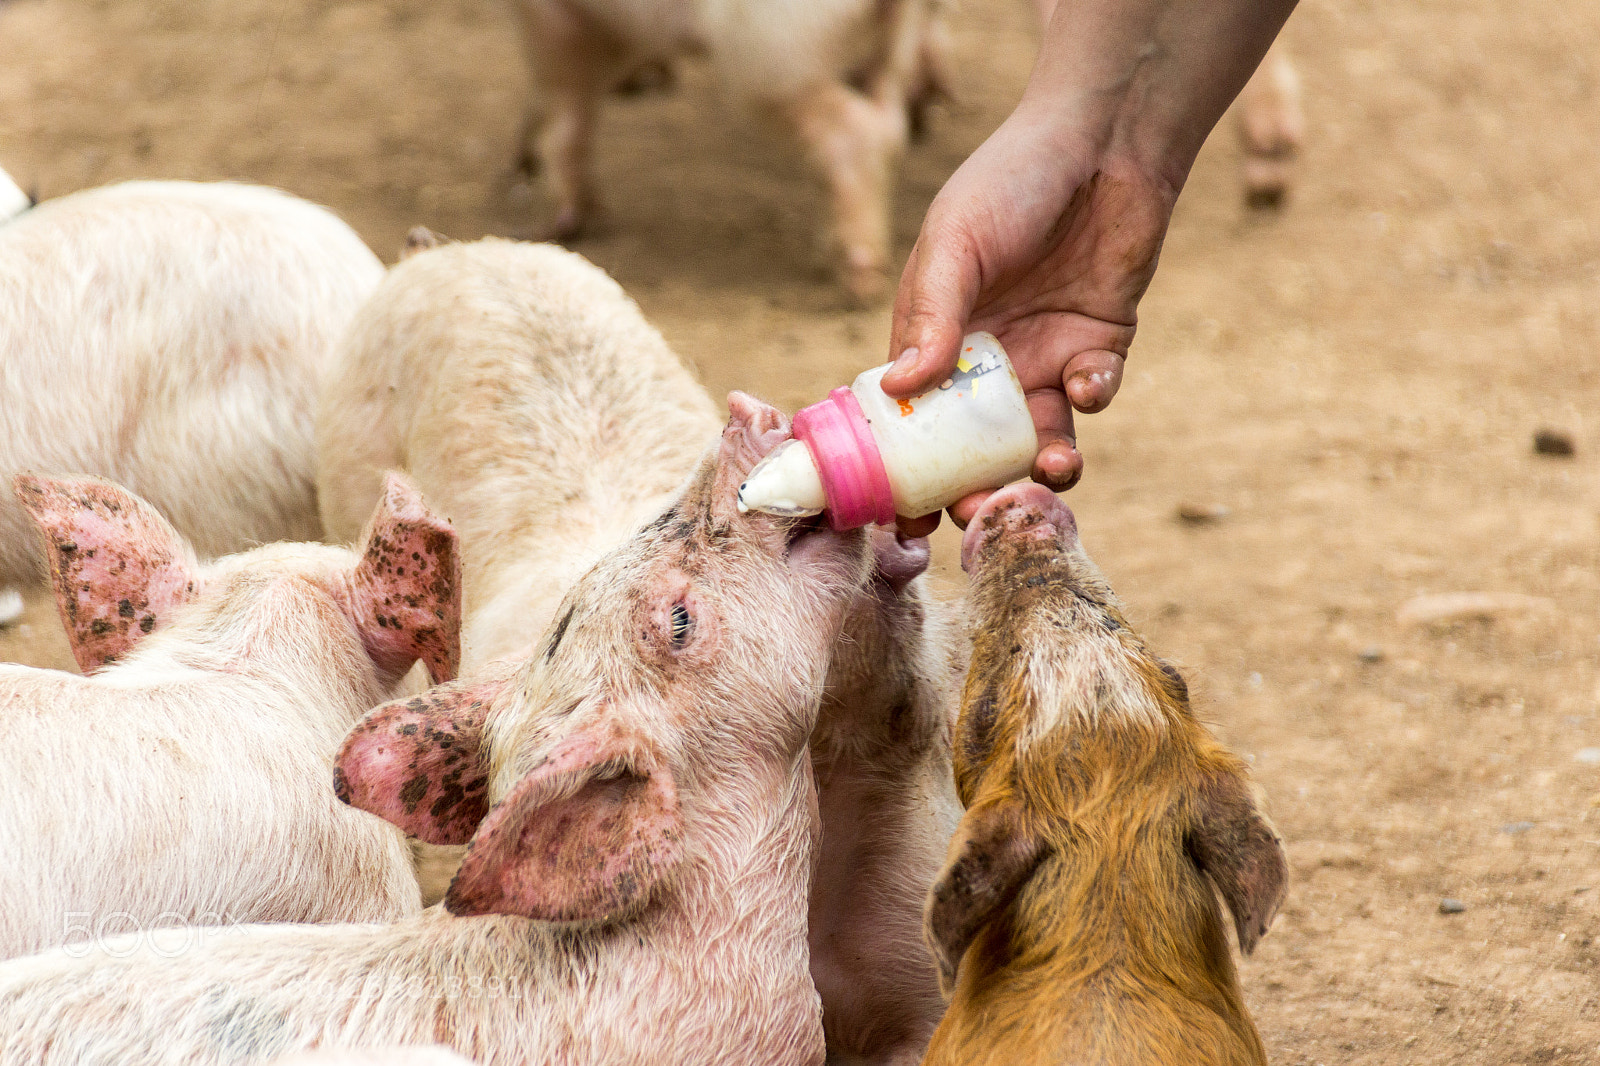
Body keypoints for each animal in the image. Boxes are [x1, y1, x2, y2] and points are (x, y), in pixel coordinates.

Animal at [504, 0, 940, 302]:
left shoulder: (553, 19)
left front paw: (553, 228)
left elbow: (565, 110)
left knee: (855, 132)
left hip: (773, 56)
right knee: (887, 127)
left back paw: (858, 281)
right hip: (884, 50)